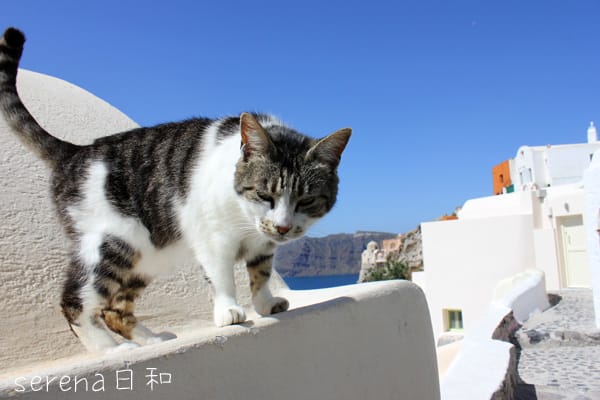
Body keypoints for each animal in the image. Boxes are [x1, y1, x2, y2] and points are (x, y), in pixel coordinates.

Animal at [0, 28, 352, 354]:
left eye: (307, 200)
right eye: (264, 195)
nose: (283, 227)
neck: (244, 215)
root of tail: (75, 152)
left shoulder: (263, 243)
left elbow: (261, 272)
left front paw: (265, 304)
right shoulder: (212, 236)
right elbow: (222, 275)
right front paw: (229, 310)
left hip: (146, 256)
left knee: (116, 307)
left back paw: (152, 340)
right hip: (112, 242)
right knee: (75, 300)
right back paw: (112, 350)